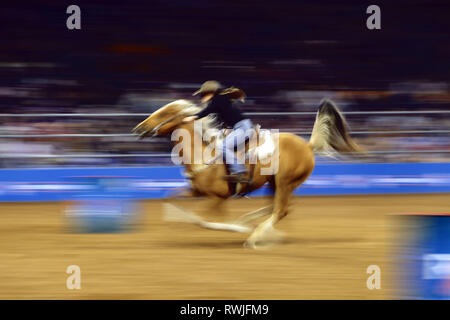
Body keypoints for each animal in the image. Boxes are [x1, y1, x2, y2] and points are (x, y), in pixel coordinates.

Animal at [132, 99, 360, 249]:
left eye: (164, 114)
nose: (139, 128)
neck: (202, 154)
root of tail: (307, 145)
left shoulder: (217, 198)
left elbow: (203, 220)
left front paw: (237, 229)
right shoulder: (195, 191)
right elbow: (169, 198)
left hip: (285, 182)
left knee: (280, 210)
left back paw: (253, 236)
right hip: (275, 183)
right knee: (277, 208)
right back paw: (255, 227)